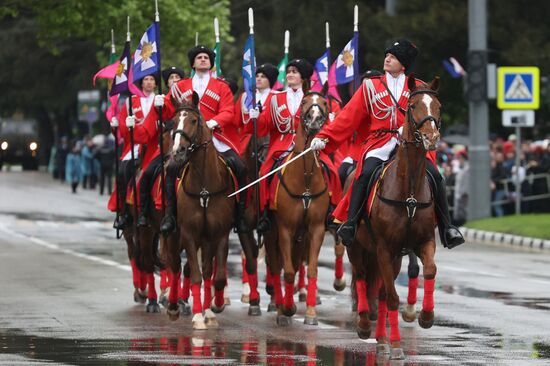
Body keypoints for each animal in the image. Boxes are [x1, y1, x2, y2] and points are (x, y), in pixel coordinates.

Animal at [164, 91, 239, 328]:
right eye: (173, 122)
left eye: (193, 120)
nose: (178, 152)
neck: (205, 185)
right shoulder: (189, 233)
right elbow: (196, 275)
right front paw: (198, 316)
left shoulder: (219, 234)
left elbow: (215, 275)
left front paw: (214, 308)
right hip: (174, 235)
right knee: (175, 265)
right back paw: (172, 305)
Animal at [264, 90, 332, 324]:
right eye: (305, 102)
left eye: (324, 103)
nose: (315, 118)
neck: (305, 177)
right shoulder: (285, 229)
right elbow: (287, 271)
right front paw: (287, 309)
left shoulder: (315, 229)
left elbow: (310, 269)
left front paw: (310, 313)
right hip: (272, 234)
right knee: (277, 266)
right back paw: (278, 306)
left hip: (301, 238)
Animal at [350, 76, 444, 358]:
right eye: (412, 106)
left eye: (438, 106)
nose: (431, 137)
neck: (409, 189)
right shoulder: (383, 248)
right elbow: (392, 296)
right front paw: (397, 345)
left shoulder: (423, 242)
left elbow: (430, 270)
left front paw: (426, 315)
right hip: (357, 248)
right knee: (362, 278)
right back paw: (364, 325)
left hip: (392, 257)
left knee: (380, 291)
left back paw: (381, 339)